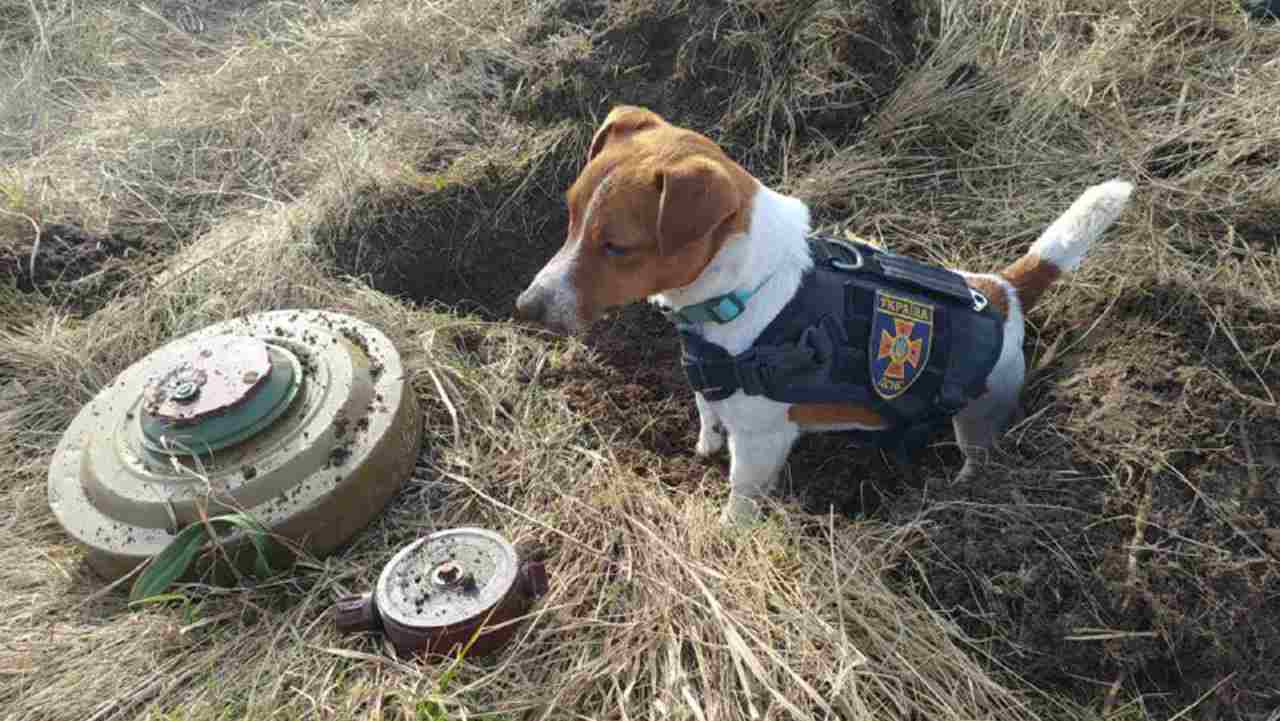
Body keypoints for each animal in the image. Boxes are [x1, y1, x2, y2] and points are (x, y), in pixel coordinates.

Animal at [514, 105, 1136, 525]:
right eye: (570, 214)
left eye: (617, 247)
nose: (525, 307)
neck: (747, 288)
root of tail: (1002, 290)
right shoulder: (710, 385)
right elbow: (707, 415)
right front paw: (703, 447)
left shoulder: (761, 441)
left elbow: (741, 494)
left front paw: (728, 530)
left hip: (981, 413)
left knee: (977, 454)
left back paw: (960, 490)